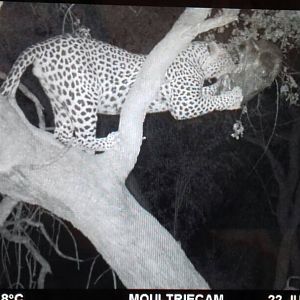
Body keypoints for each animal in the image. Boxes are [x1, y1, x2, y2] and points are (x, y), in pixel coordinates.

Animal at [0, 29, 243, 152]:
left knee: (62, 134)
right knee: (85, 136)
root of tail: (44, 45)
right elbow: (211, 102)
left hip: (61, 99)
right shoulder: (184, 103)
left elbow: (209, 93)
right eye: (229, 59)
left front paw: (222, 88)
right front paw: (234, 97)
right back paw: (111, 140)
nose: (236, 65)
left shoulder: (191, 95)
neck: (197, 61)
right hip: (83, 96)